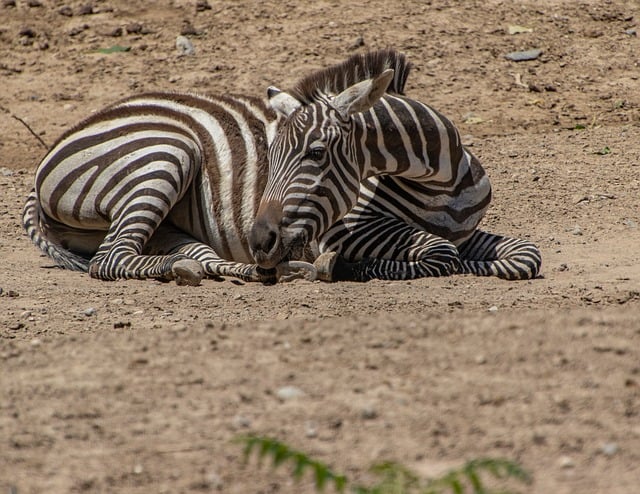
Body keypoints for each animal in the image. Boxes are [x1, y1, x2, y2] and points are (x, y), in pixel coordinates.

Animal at [249, 49, 542, 281]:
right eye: (271, 154)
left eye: (317, 153)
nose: (260, 241)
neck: (441, 186)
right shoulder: (346, 230)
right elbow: (444, 252)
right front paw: (338, 266)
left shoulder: (467, 235)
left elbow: (527, 254)